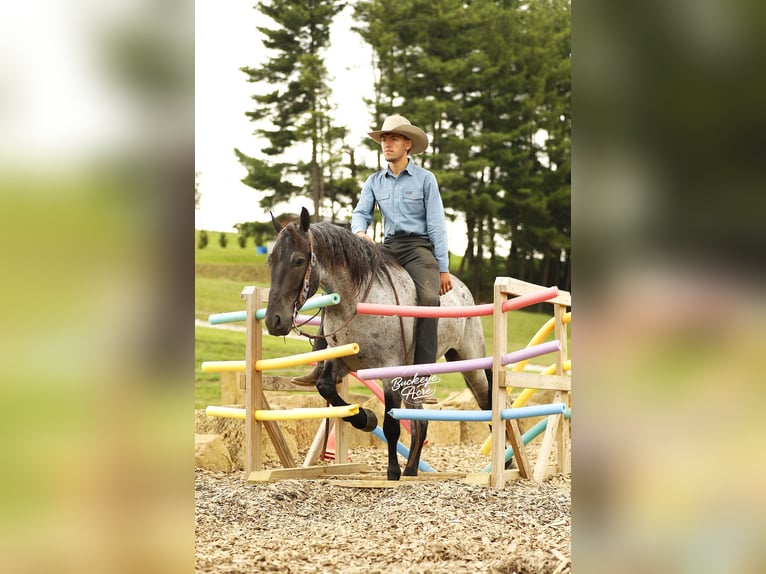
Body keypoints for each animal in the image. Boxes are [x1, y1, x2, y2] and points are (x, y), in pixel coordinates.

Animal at [264, 207, 492, 480]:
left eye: (298, 260)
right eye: (270, 260)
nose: (274, 320)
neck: (357, 301)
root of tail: (463, 289)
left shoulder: (389, 373)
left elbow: (392, 425)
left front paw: (392, 472)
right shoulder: (341, 362)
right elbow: (326, 388)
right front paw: (366, 419)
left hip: (470, 362)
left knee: (486, 402)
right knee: (420, 421)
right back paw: (411, 470)